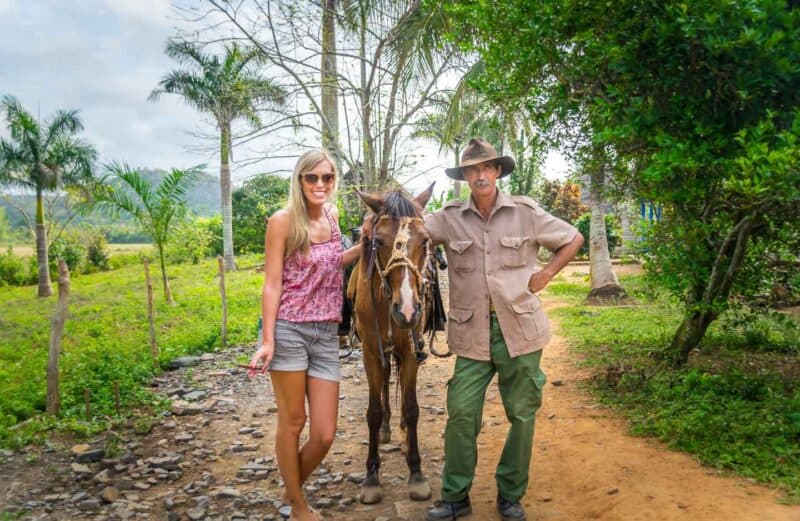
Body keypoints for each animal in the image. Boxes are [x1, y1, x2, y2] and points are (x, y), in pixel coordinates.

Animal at [348, 184, 434, 504]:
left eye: (425, 241)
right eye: (378, 241)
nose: (407, 311)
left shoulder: (410, 351)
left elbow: (411, 408)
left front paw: (416, 472)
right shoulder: (371, 352)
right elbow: (372, 412)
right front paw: (372, 477)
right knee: (385, 381)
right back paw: (387, 427)